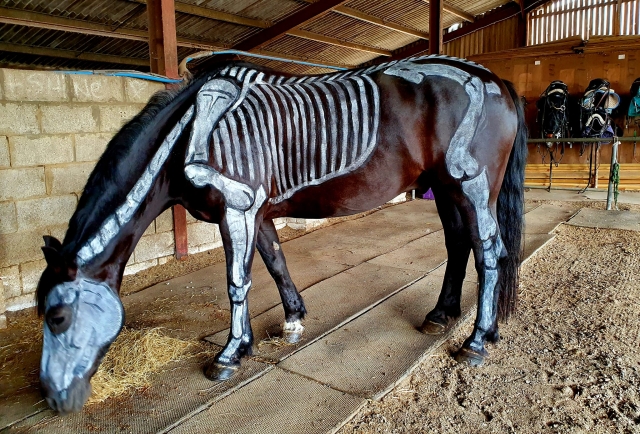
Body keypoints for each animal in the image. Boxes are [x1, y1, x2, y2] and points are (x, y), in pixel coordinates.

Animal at [35, 54, 527, 414]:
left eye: (57, 317)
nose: (54, 399)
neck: (189, 132)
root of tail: (493, 78)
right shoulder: (259, 213)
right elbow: (274, 261)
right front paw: (292, 320)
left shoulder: (238, 208)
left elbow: (238, 281)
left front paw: (230, 354)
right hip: (444, 188)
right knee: (458, 245)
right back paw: (441, 314)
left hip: (469, 185)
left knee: (488, 252)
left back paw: (477, 340)